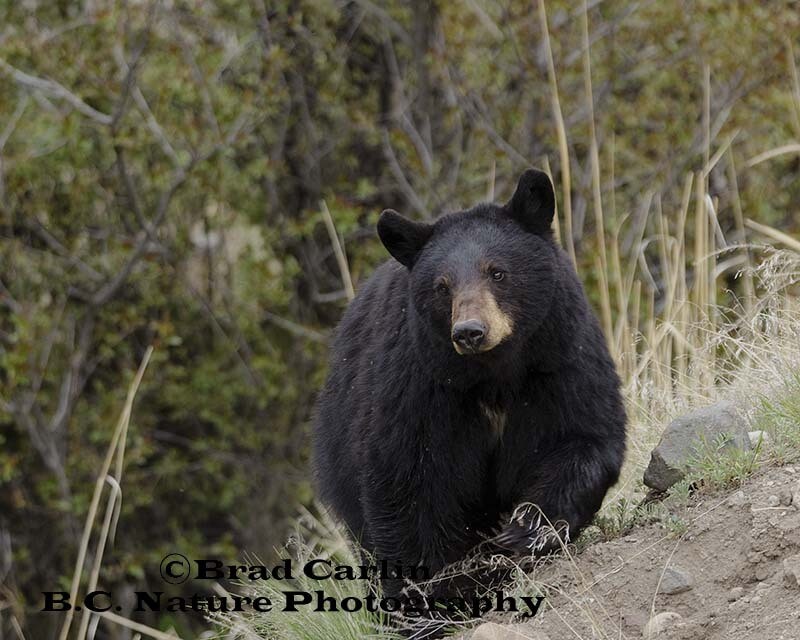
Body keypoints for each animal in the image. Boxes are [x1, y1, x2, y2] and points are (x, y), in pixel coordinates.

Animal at [312, 169, 626, 600]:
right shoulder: (418, 389)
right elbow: (407, 483)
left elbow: (581, 436)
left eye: (497, 271)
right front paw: (434, 590)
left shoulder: (560, 358)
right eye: (442, 286)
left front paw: (524, 530)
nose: (470, 332)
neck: (492, 373)